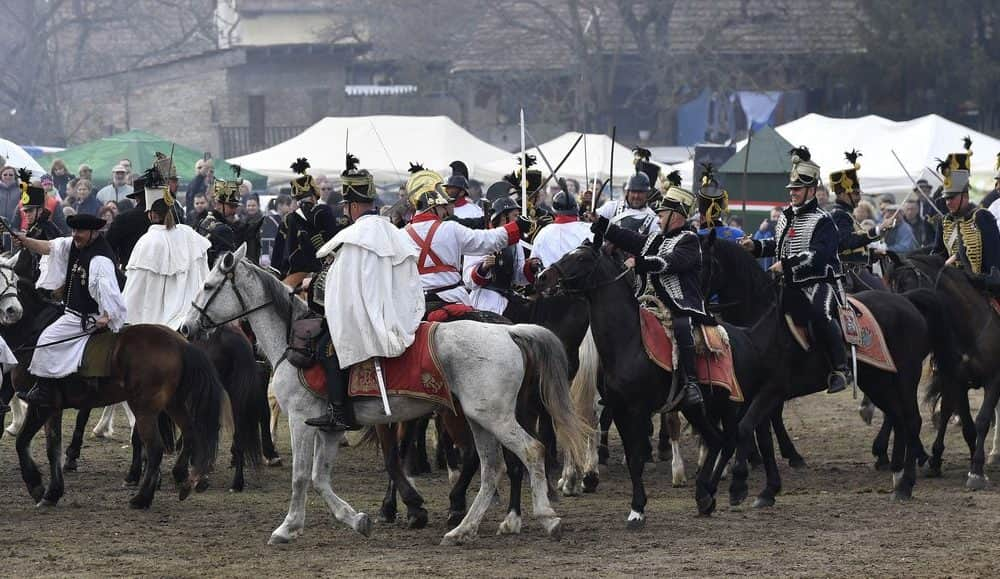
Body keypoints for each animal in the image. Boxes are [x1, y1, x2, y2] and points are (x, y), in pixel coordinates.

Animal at [180, 247, 588, 548]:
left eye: (208, 285)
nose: (185, 327)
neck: (293, 343)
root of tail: (508, 332)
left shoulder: (300, 420)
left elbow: (301, 477)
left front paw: (287, 527)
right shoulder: (330, 427)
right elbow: (320, 477)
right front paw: (357, 520)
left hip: (494, 417)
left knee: (531, 451)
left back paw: (545, 518)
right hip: (478, 418)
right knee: (491, 468)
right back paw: (463, 530)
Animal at [704, 239, 960, 502]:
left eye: (701, 262)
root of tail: (908, 301)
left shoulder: (773, 390)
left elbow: (748, 428)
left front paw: (742, 482)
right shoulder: (755, 393)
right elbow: (758, 436)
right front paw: (764, 486)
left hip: (905, 377)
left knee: (911, 420)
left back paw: (906, 482)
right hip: (878, 381)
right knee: (898, 418)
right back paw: (897, 470)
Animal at [884, 251, 1000, 488]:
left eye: (907, 282)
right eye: (890, 286)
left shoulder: (994, 379)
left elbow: (983, 420)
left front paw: (977, 470)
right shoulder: (957, 381)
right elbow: (967, 425)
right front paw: (973, 464)